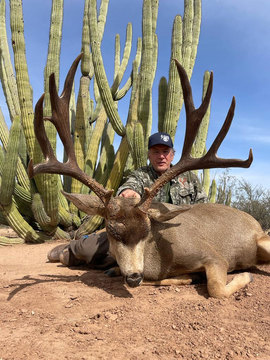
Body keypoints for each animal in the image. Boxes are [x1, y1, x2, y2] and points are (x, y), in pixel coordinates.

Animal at [28, 54, 268, 298]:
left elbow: (216, 288)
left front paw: (244, 275)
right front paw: (184, 277)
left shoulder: (213, 255)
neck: (158, 258)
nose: (134, 276)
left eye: (146, 230)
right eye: (112, 231)